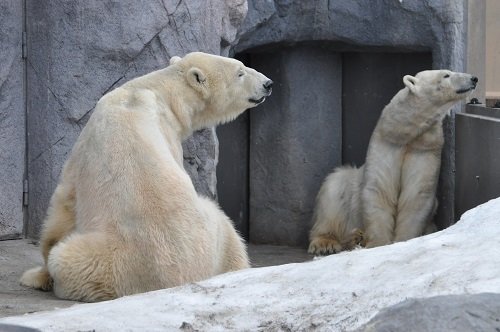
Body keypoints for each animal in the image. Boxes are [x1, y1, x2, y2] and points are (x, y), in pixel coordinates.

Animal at [20, 51, 274, 300]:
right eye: (240, 72)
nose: (268, 84)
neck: (152, 89)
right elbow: (63, 204)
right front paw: (35, 277)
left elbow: (62, 207)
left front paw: (35, 277)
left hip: (107, 260)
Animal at [308, 68, 476, 253]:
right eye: (446, 75)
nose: (473, 79)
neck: (407, 132)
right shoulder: (388, 143)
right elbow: (380, 188)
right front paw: (378, 243)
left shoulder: (425, 148)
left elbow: (416, 193)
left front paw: (402, 241)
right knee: (333, 189)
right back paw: (328, 243)